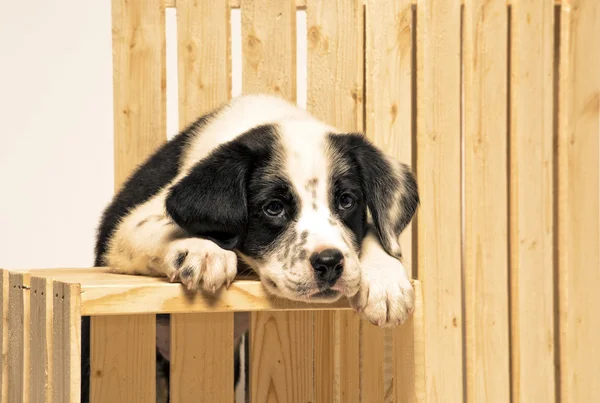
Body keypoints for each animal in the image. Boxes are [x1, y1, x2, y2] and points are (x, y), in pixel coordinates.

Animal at [84, 94, 420, 400]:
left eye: (347, 201)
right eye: (273, 208)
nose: (329, 263)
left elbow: (374, 230)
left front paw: (385, 282)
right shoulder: (124, 228)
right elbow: (165, 229)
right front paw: (203, 251)